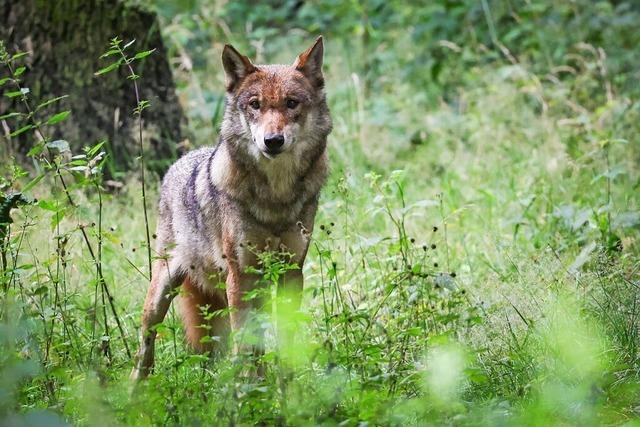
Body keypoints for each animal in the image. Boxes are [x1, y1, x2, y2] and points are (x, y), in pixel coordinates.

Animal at [129, 35, 330, 380]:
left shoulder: (291, 271)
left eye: (292, 103)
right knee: (145, 345)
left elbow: (284, 339)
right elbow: (245, 343)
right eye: (255, 105)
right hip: (162, 291)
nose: (272, 141)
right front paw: (249, 388)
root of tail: (181, 161)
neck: (275, 197)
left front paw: (288, 386)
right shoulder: (240, 274)